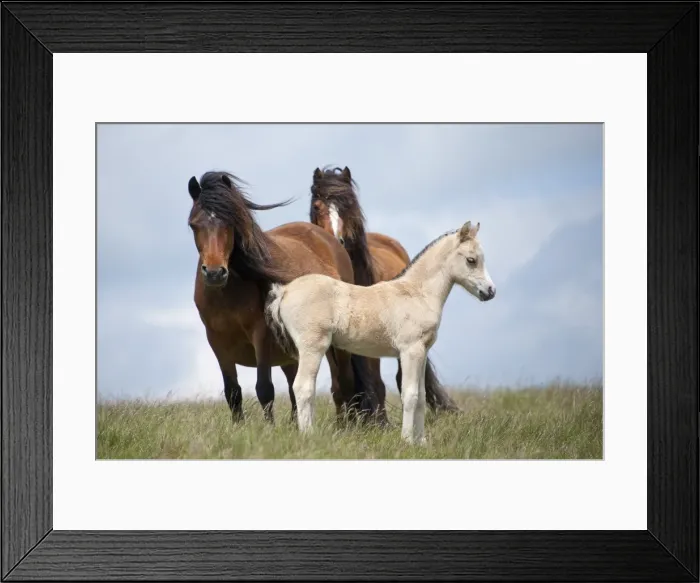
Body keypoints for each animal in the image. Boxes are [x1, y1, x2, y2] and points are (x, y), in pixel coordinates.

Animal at [187, 170, 380, 425]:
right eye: (193, 225)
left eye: (229, 223)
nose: (215, 272)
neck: (226, 296)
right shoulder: (217, 342)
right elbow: (233, 392)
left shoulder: (261, 336)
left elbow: (264, 389)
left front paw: (268, 428)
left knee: (344, 385)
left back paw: (345, 427)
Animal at [265, 221, 496, 443]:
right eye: (471, 260)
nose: (490, 291)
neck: (417, 294)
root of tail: (285, 291)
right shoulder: (410, 351)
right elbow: (410, 395)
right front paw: (407, 441)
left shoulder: (422, 352)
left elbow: (421, 397)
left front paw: (421, 441)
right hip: (312, 347)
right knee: (303, 387)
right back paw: (309, 435)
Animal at [309, 166, 461, 416]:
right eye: (317, 206)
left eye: (348, 205)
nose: (335, 241)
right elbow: (340, 383)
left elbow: (375, 381)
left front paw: (379, 420)